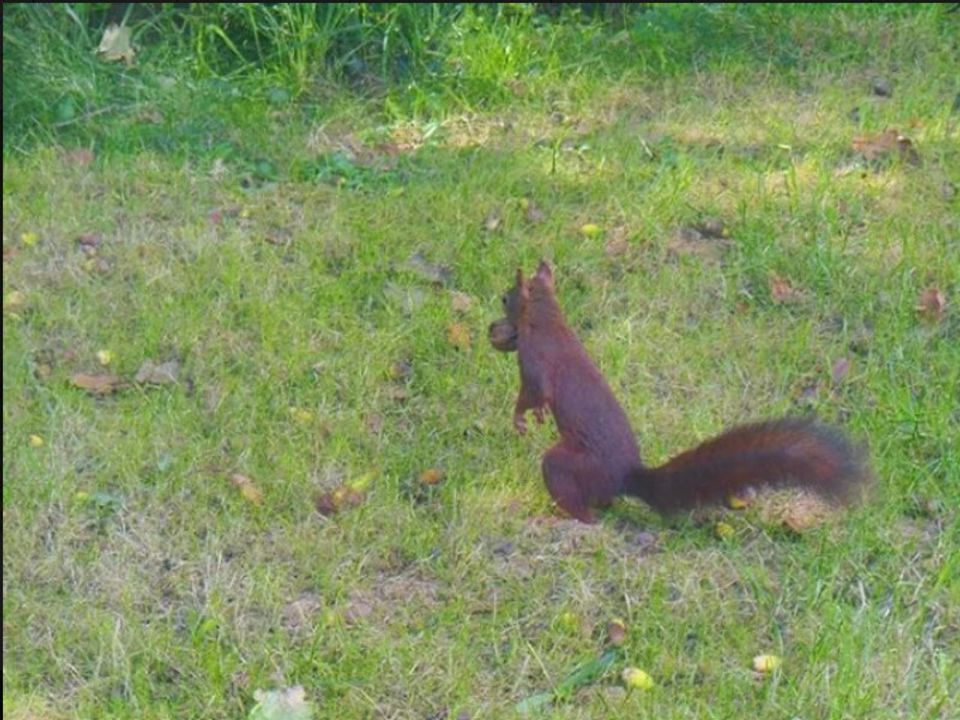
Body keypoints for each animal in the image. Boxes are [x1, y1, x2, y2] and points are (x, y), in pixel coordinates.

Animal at [492, 262, 872, 524]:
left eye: (507, 296)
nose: (499, 302)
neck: (548, 321)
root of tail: (624, 479)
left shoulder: (535, 361)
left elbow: (533, 394)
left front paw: (521, 418)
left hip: (570, 464)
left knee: (576, 498)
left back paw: (567, 516)